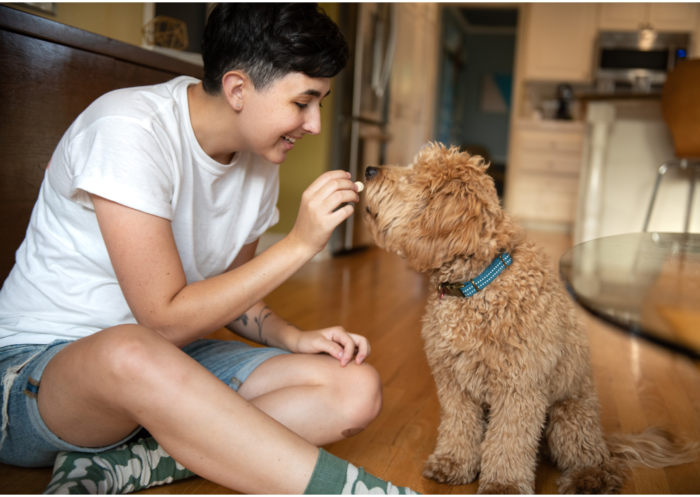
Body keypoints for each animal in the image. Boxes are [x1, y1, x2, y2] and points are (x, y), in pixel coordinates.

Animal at [364, 143, 696, 492]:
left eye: (414, 177)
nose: (369, 169)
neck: (478, 284)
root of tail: (605, 440)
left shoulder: (519, 388)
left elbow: (508, 441)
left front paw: (503, 486)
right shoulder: (454, 384)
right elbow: (459, 427)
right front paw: (452, 463)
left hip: (569, 417)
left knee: (595, 460)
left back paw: (589, 479)